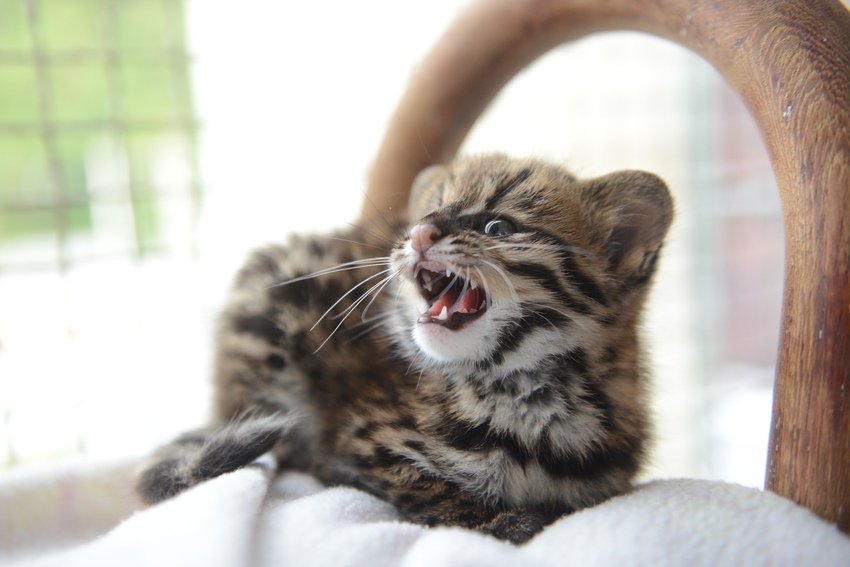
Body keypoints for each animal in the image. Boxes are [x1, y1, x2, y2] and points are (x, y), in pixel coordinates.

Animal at [137, 153, 668, 544]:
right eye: (425, 214)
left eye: (498, 227)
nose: (418, 233)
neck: (521, 387)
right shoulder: (363, 437)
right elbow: (420, 484)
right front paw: (494, 519)